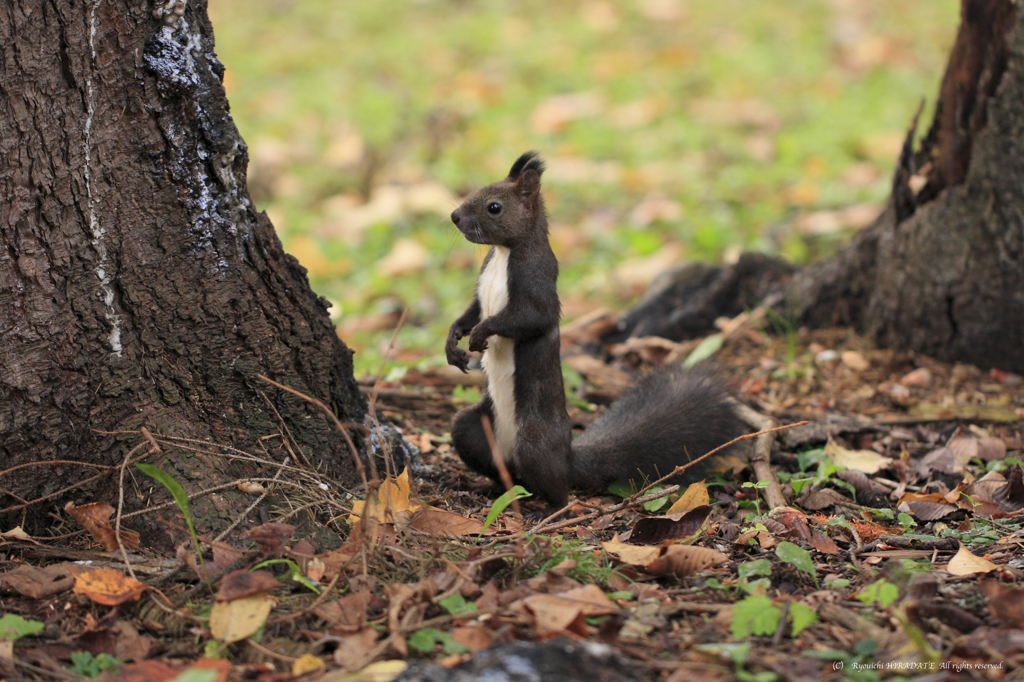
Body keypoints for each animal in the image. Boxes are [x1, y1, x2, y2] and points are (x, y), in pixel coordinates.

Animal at [444, 152, 741, 503]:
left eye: (494, 207)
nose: (455, 216)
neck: (504, 252)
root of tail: (568, 458)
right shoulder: (482, 285)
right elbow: (471, 312)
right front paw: (453, 342)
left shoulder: (537, 278)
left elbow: (531, 318)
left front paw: (481, 333)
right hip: (470, 428)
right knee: (503, 470)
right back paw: (487, 487)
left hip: (534, 442)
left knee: (556, 488)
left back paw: (553, 507)